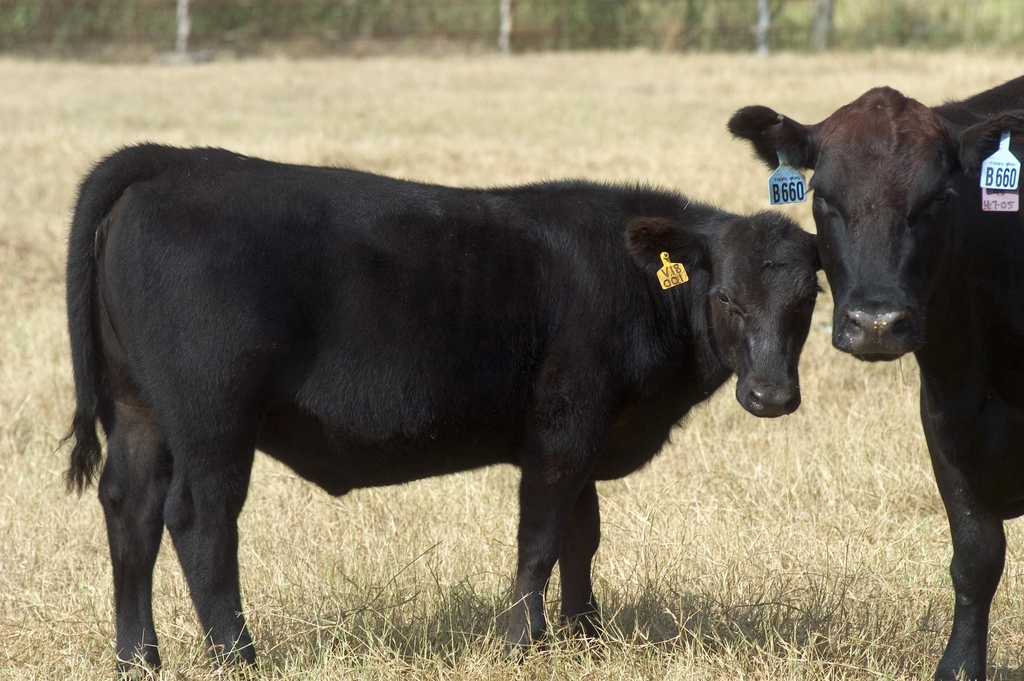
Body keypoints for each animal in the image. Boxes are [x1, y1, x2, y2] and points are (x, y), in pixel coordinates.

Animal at [64, 142, 819, 667]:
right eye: (726, 297)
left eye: (808, 299)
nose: (771, 394)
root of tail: (173, 160)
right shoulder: (564, 425)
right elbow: (541, 536)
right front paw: (521, 643)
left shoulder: (590, 433)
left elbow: (582, 536)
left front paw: (585, 637)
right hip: (213, 415)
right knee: (200, 519)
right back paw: (238, 656)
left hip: (139, 411)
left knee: (130, 510)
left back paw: (137, 659)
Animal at [733, 75, 1024, 679]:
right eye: (823, 197)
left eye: (938, 199)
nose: (875, 323)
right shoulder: (945, 419)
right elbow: (977, 556)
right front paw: (960, 667)